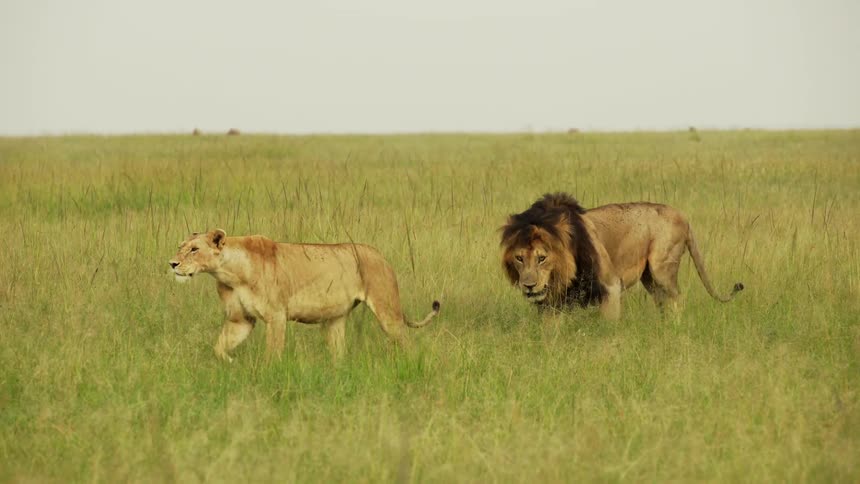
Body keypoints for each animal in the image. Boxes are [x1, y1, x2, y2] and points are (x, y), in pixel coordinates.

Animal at [168, 229, 440, 362]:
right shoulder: (241, 320)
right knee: (338, 353)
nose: (172, 264)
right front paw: (231, 362)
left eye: (194, 249)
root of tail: (381, 256)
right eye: (180, 247)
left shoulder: (276, 316)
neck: (230, 271)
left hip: (387, 310)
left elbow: (272, 353)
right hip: (335, 320)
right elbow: (218, 347)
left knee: (406, 342)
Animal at [501, 193, 743, 319]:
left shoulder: (610, 286)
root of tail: (683, 216)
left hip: (662, 267)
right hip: (649, 278)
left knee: (676, 299)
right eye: (519, 258)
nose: (529, 285)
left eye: (542, 258)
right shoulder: (555, 300)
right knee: (662, 300)